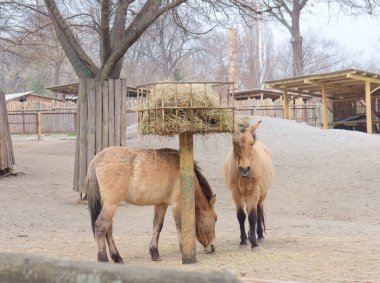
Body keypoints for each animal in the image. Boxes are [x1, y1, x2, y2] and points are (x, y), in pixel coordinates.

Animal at [86, 146, 217, 264]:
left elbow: (157, 226)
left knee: (108, 229)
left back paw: (117, 257)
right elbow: (179, 225)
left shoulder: (161, 204)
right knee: (101, 226)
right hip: (111, 204)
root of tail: (97, 158)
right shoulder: (177, 204)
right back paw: (103, 259)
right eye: (215, 219)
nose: (212, 247)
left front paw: (154, 253)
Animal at [223, 121, 274, 250]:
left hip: (262, 194)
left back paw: (259, 236)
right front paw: (243, 242)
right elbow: (241, 216)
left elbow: (252, 216)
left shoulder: (254, 192)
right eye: (234, 143)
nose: (245, 169)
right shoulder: (236, 193)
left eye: (251, 143)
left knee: (259, 210)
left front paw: (254, 244)